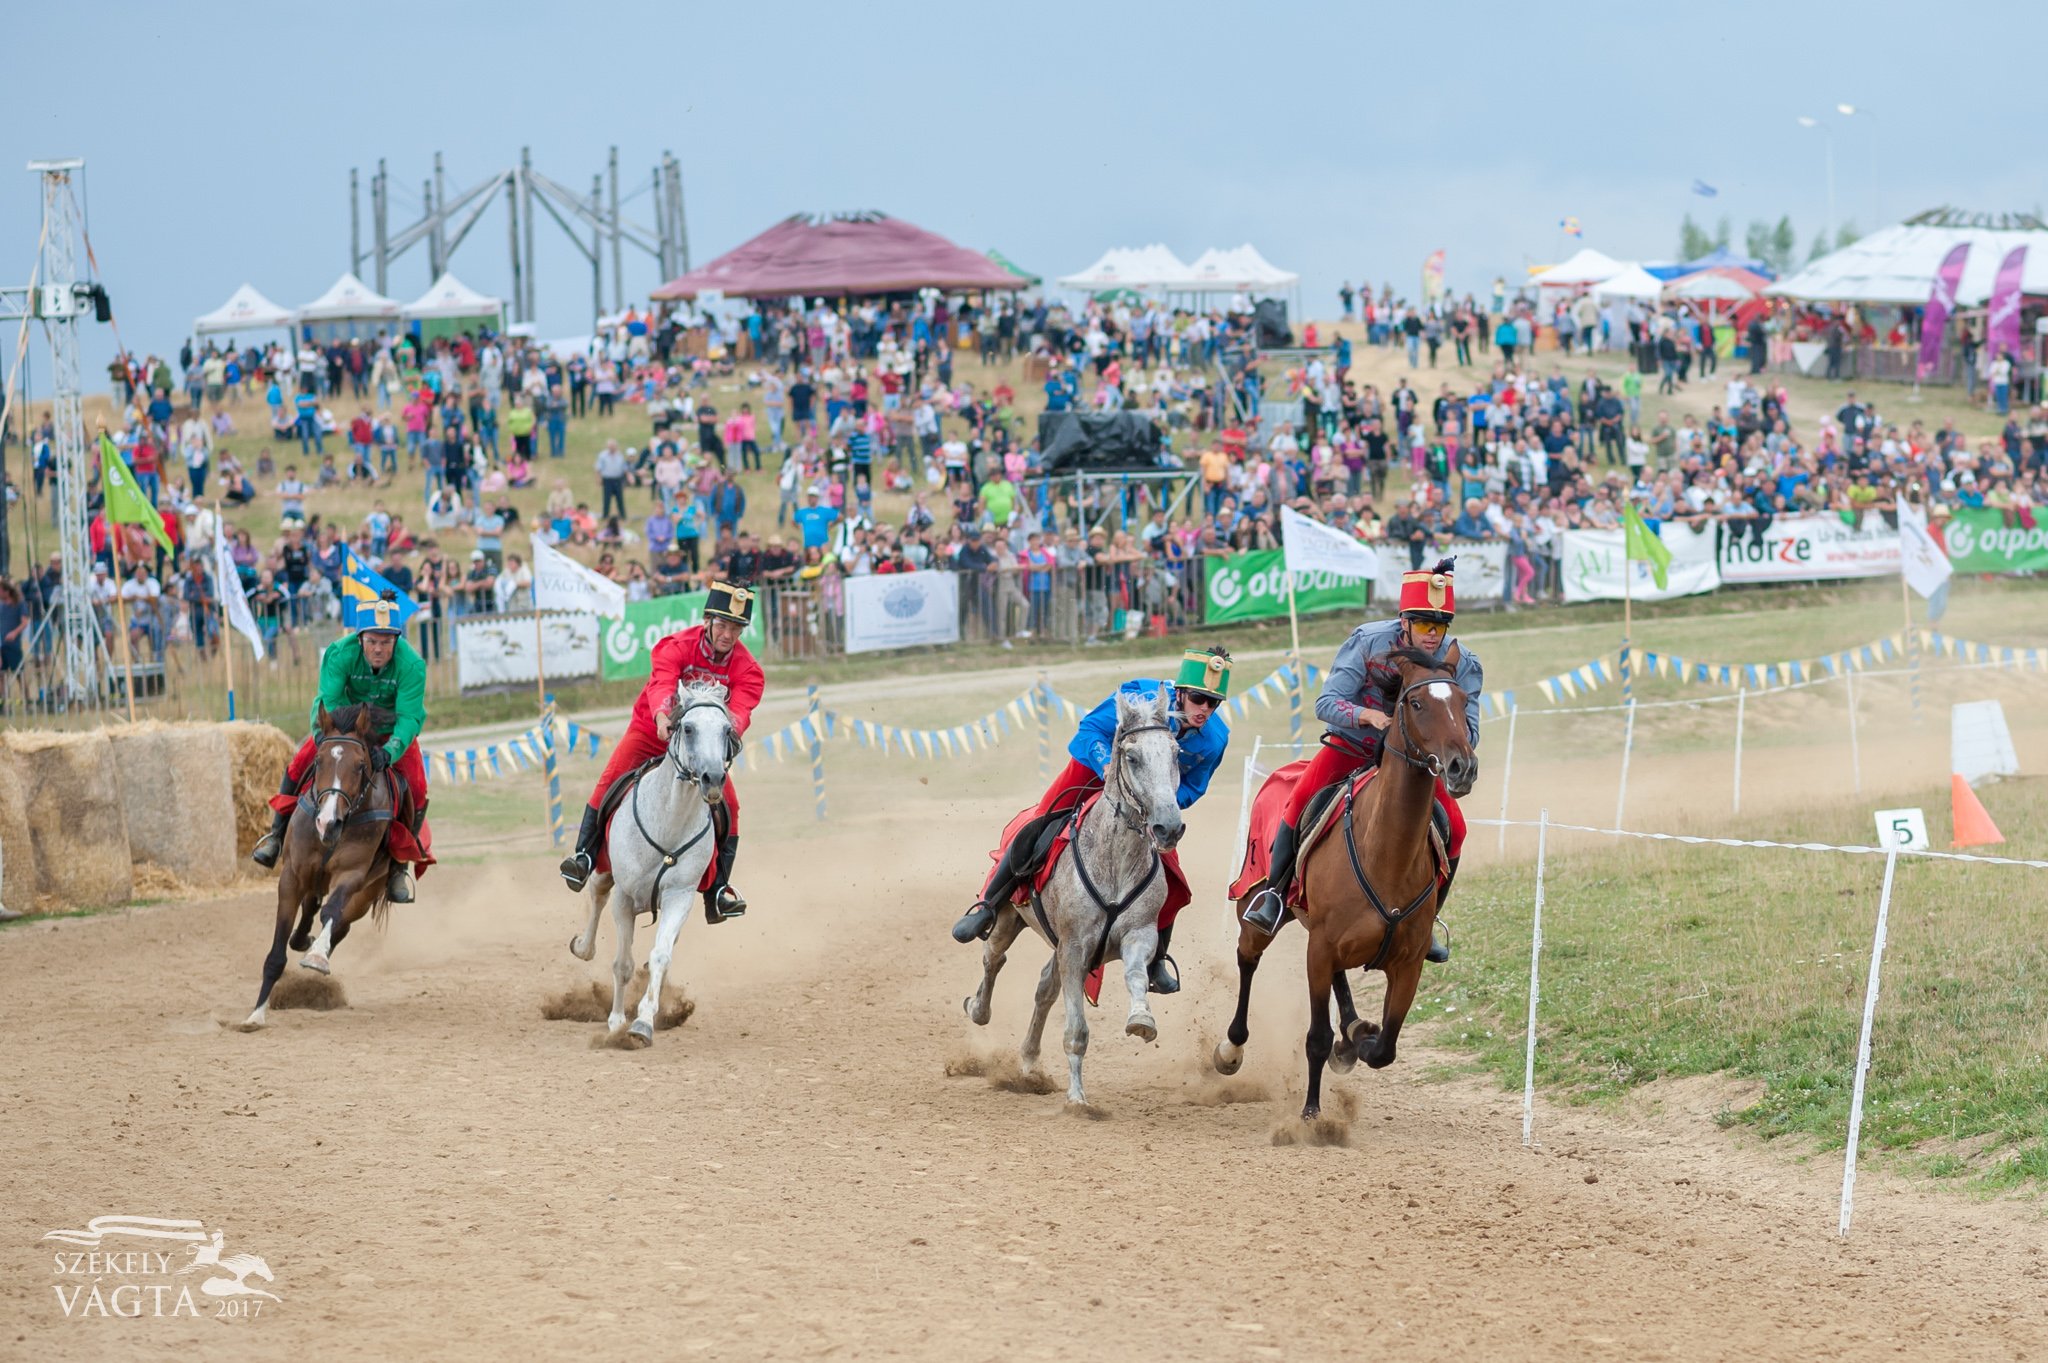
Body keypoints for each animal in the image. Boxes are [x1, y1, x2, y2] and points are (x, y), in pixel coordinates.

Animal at [239, 699, 395, 1031]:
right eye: (319, 761)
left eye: (360, 765)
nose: (327, 822)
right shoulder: (292, 877)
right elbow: (276, 954)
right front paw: (256, 1013)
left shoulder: (351, 876)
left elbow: (331, 913)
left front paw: (318, 956)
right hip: (313, 878)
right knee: (310, 908)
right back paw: (303, 939)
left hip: (365, 894)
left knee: (339, 923)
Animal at [569, 675, 737, 1039]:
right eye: (688, 728)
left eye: (726, 730)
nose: (714, 778)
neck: (669, 822)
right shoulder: (624, 898)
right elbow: (622, 964)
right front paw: (617, 1022)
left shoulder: (680, 897)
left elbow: (661, 955)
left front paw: (644, 1021)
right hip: (603, 871)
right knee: (596, 896)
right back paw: (583, 946)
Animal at [962, 683, 1187, 1113]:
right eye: (1132, 756)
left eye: (1176, 753)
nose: (1168, 826)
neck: (1116, 859)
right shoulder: (1075, 946)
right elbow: (1077, 1030)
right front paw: (1077, 1100)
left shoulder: (1137, 936)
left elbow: (1135, 976)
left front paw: (1141, 1019)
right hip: (1008, 920)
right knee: (992, 959)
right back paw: (979, 1008)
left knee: (1045, 989)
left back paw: (1029, 1063)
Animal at [1204, 646, 1482, 1113]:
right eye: (1415, 702)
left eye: (1463, 702)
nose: (1461, 767)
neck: (1386, 854)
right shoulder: (1318, 952)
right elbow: (1317, 1037)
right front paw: (1313, 1114)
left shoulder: (1407, 965)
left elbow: (1385, 1049)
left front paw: (1358, 1041)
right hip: (1256, 908)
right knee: (1248, 959)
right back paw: (1231, 1049)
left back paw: (1352, 1032)